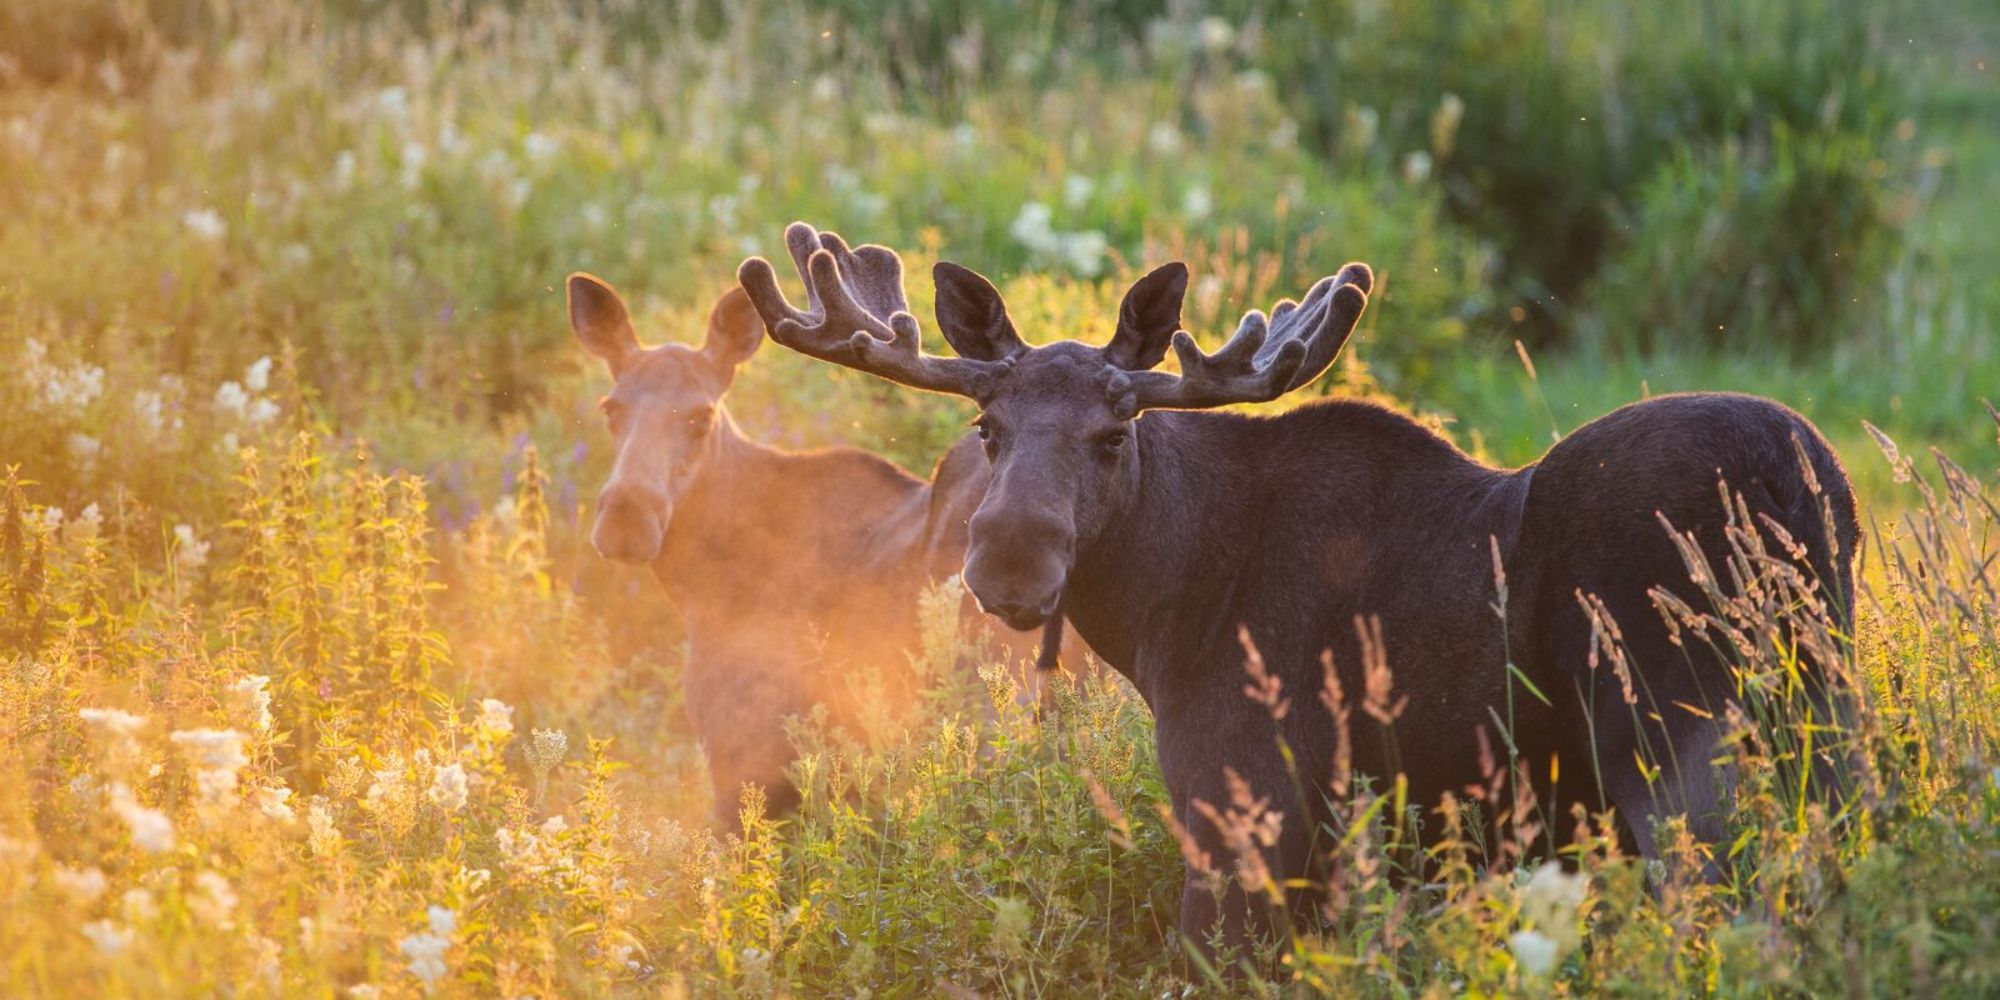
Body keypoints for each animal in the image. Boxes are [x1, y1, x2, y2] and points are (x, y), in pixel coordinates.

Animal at [738, 222, 1859, 953]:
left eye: (1113, 434)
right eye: (987, 426)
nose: (1010, 564)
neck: (1161, 613)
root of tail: (1800, 477)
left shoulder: (1245, 808)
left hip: (1685, 752)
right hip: (1823, 728)